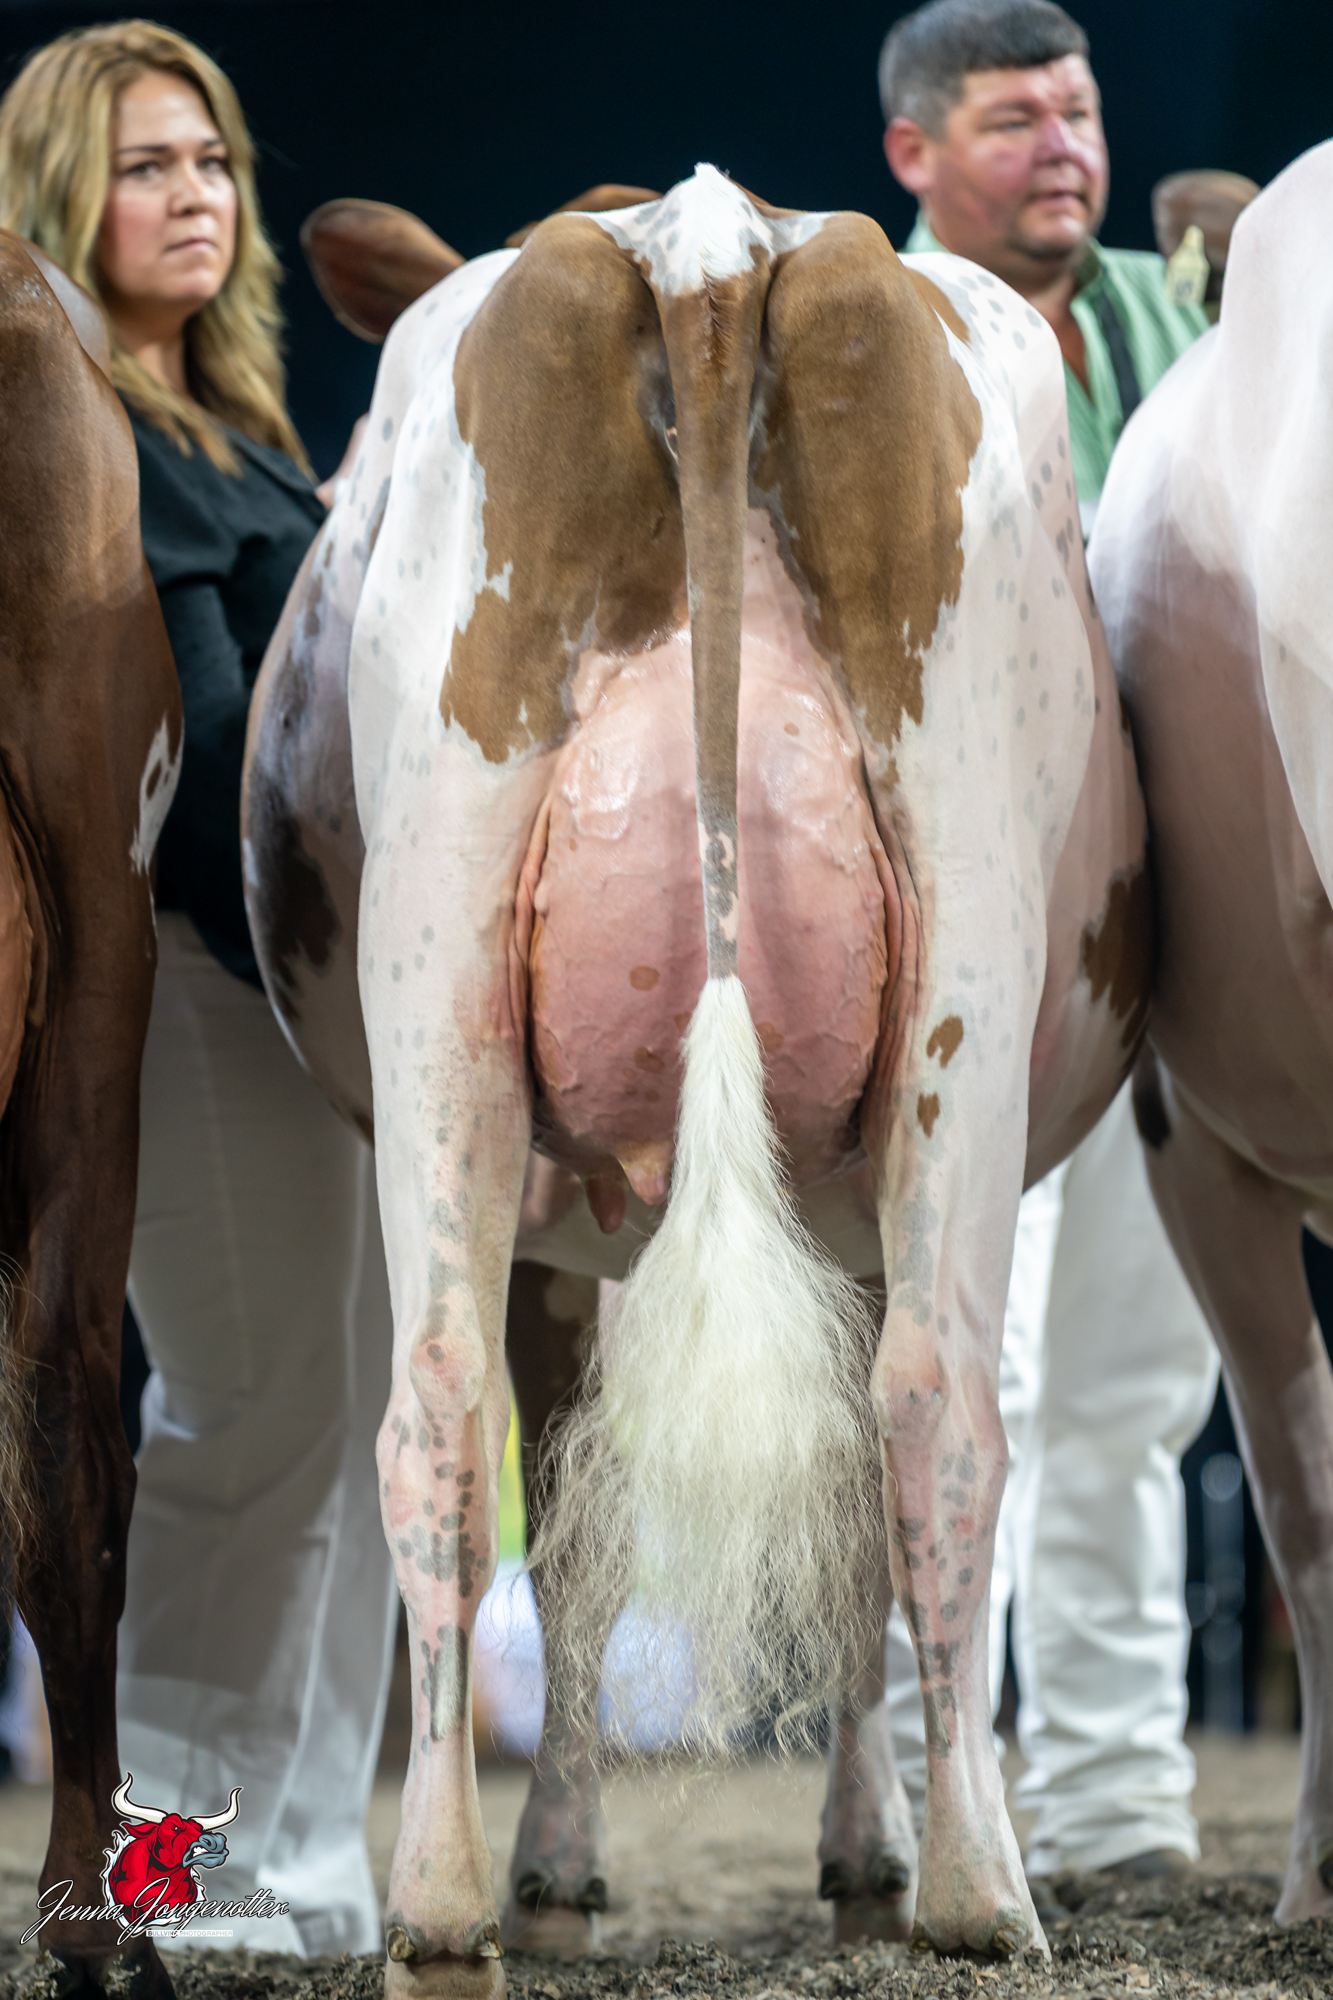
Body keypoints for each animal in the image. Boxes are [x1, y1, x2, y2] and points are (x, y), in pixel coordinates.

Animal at [242, 168, 1150, 1993]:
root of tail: (707, 234)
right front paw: (842, 1849)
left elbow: (596, 1515)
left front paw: (575, 1862)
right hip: (963, 973)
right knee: (929, 1411)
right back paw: (975, 1883)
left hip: (440, 968)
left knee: (441, 1406)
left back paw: (438, 1901)